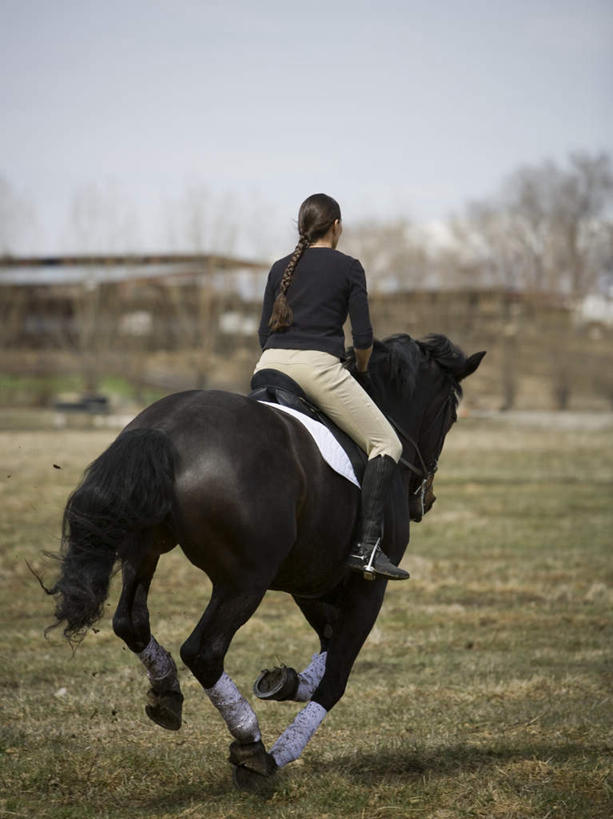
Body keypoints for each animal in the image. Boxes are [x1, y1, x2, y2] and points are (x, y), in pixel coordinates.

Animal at [43, 334, 482, 788]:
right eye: (450, 413)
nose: (425, 500)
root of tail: (164, 430)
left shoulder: (313, 583)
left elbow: (327, 647)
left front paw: (284, 682)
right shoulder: (367, 586)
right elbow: (335, 676)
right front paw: (282, 747)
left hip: (143, 552)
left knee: (130, 622)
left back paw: (166, 692)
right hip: (243, 583)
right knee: (203, 651)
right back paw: (251, 747)